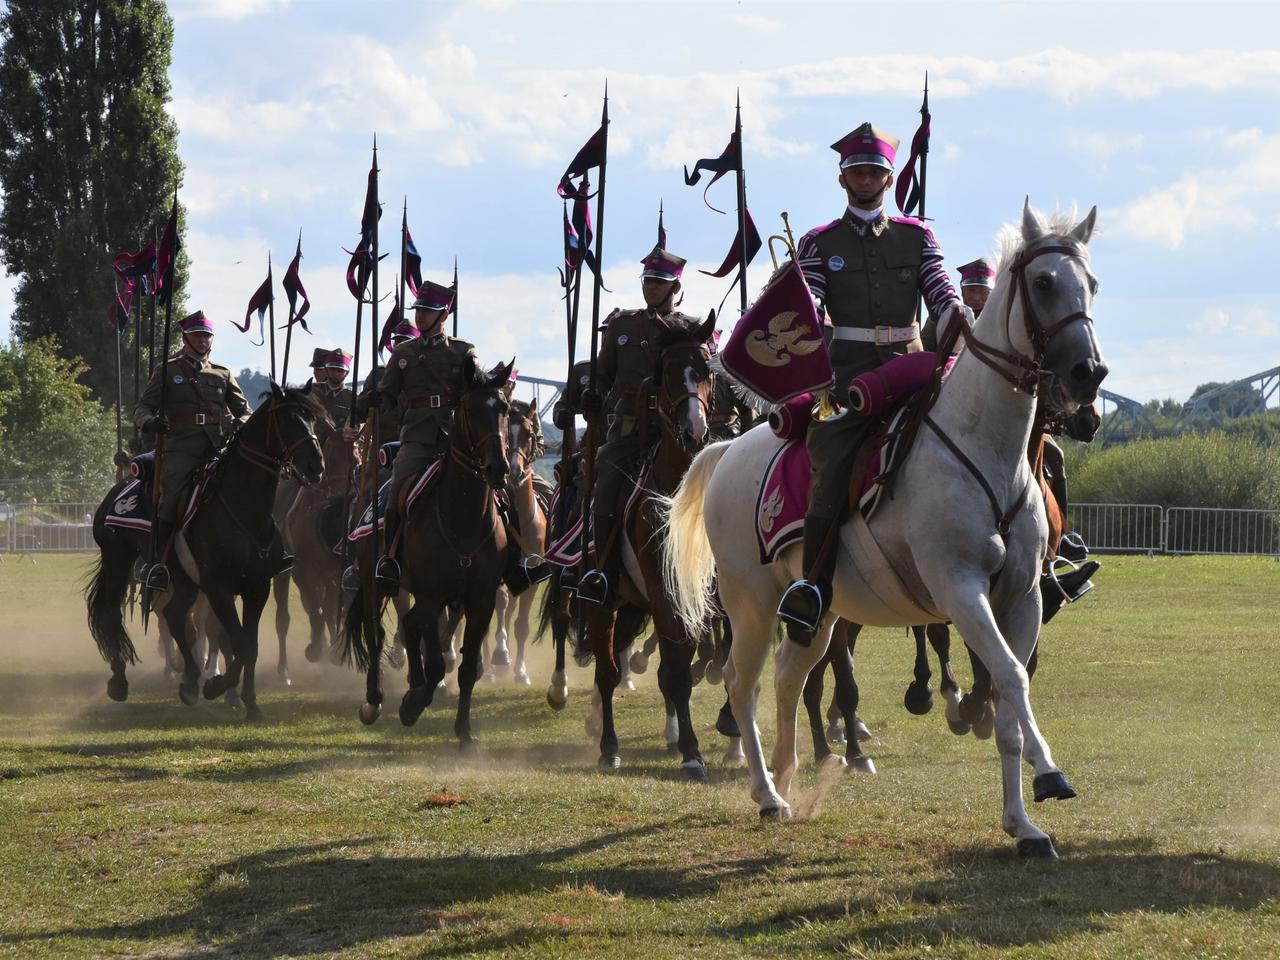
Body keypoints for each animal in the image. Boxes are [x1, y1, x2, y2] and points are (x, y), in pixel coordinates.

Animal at [345, 358, 519, 757]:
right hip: (376, 580)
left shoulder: (481, 600)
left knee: (412, 627)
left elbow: (465, 667)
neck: (464, 517)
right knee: (380, 633)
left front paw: (464, 733)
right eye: (470, 410)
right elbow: (436, 658)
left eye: (504, 409)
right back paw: (375, 700)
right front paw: (412, 704)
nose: (498, 468)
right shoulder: (432, 593)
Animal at [583, 316, 716, 783]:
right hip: (605, 599)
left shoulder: (694, 594)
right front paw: (692, 753)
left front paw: (686, 744)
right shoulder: (663, 591)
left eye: (708, 370)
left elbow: (680, 666)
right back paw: (608, 748)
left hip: (633, 603)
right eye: (669, 372)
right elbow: (674, 672)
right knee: (606, 673)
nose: (695, 431)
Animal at [665, 200, 1105, 855]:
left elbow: (1009, 695)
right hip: (751, 604)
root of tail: (728, 451)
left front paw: (1023, 825)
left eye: (1091, 284)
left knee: (789, 679)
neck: (985, 445)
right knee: (742, 687)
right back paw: (767, 794)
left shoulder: (1022, 596)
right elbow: (1009, 676)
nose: (1088, 374)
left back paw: (789, 775)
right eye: (1045, 283)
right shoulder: (960, 587)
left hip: (817, 612)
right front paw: (1050, 771)